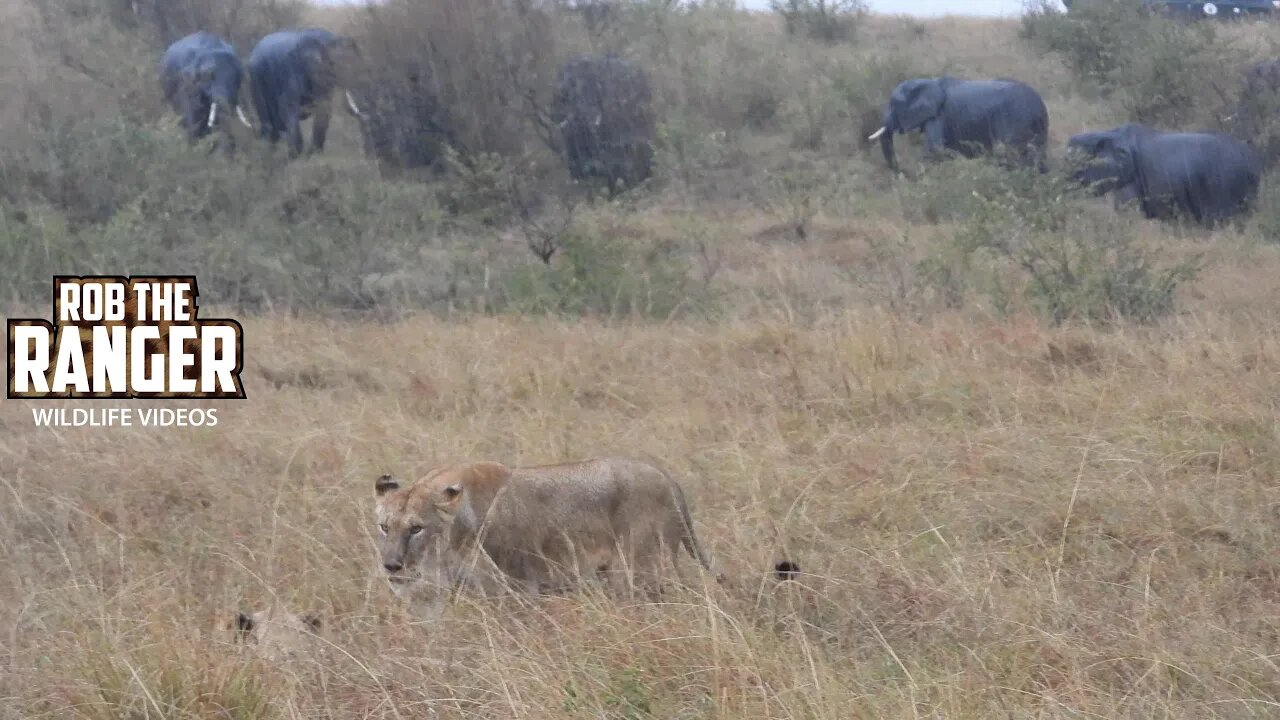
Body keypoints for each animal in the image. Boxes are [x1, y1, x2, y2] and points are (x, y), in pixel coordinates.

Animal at [870, 75, 1049, 172]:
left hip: (1015, 119)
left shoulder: (938, 115)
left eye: (893, 104)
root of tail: (1039, 105)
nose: (900, 172)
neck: (928, 82)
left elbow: (934, 149)